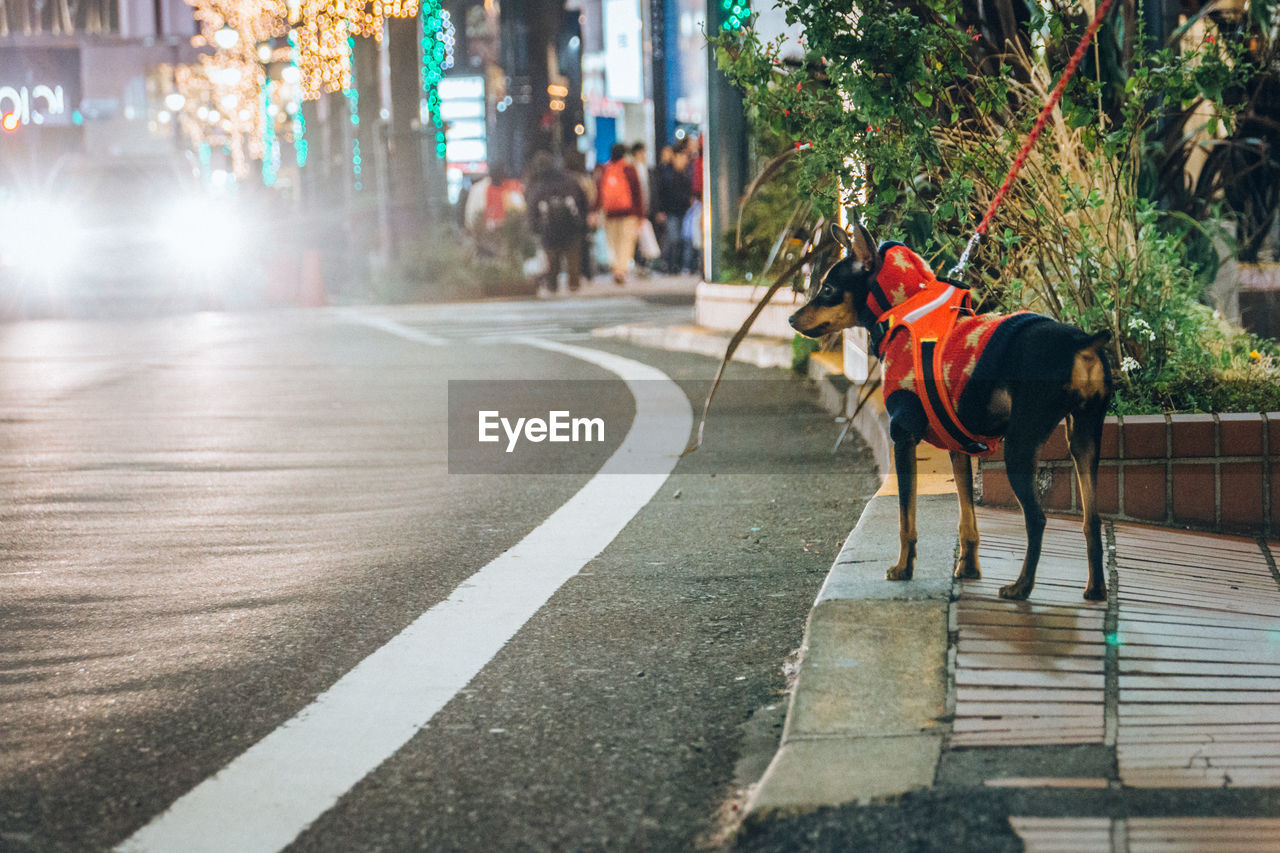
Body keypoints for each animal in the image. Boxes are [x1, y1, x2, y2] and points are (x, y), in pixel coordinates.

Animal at [793, 225, 1116, 596]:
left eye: (828, 290)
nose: (791, 317)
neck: (905, 306)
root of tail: (1082, 343)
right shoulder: (959, 447)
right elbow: (967, 517)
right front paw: (968, 568)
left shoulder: (902, 437)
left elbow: (906, 517)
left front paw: (903, 568)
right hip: (1084, 437)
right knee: (1092, 518)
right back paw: (1095, 589)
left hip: (1021, 445)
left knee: (1037, 518)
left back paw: (1021, 587)